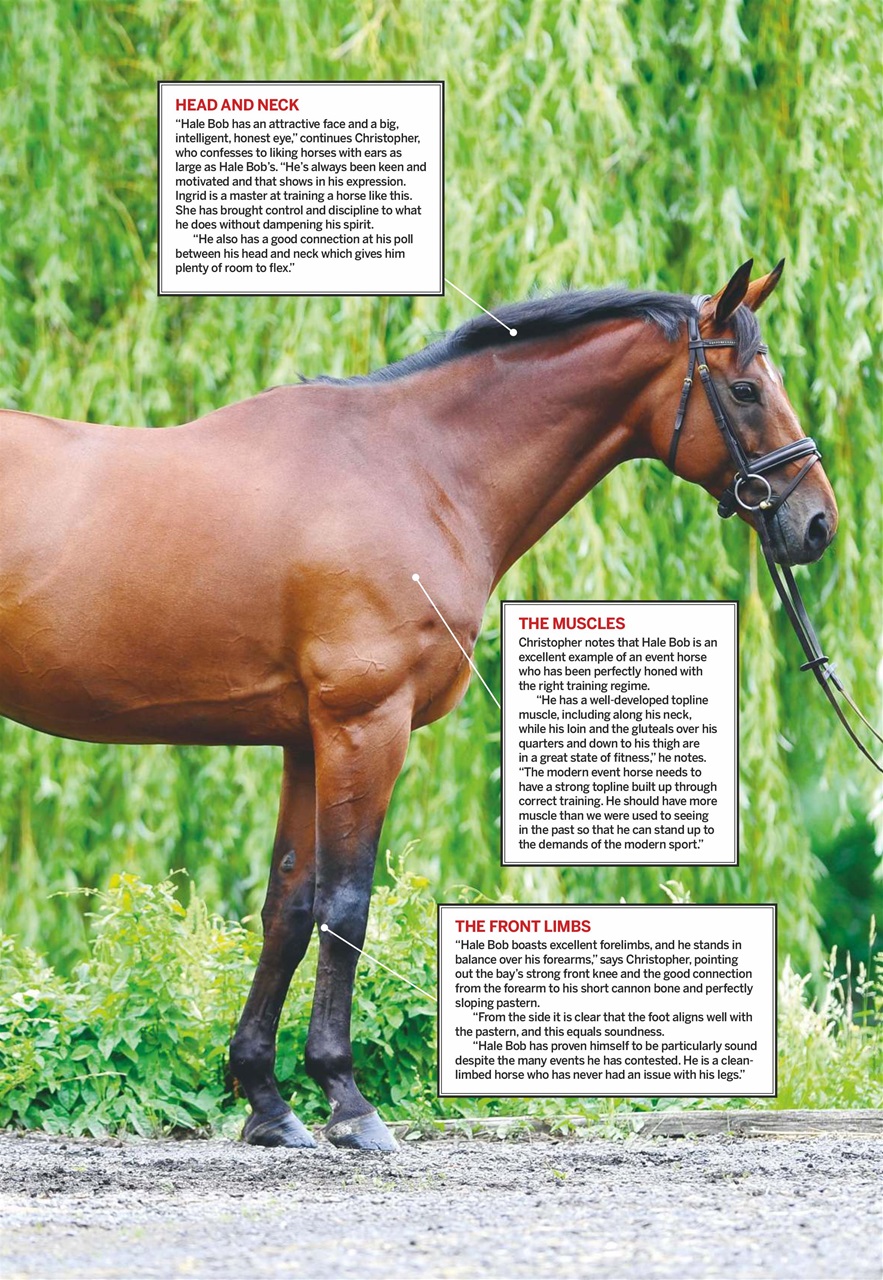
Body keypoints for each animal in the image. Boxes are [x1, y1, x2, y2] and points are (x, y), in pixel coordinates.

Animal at [0, 260, 837, 1150]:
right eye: (745, 389)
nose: (816, 522)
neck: (418, 471)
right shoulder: (364, 725)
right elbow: (345, 906)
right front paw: (347, 1100)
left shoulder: (308, 739)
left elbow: (289, 907)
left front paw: (268, 1103)